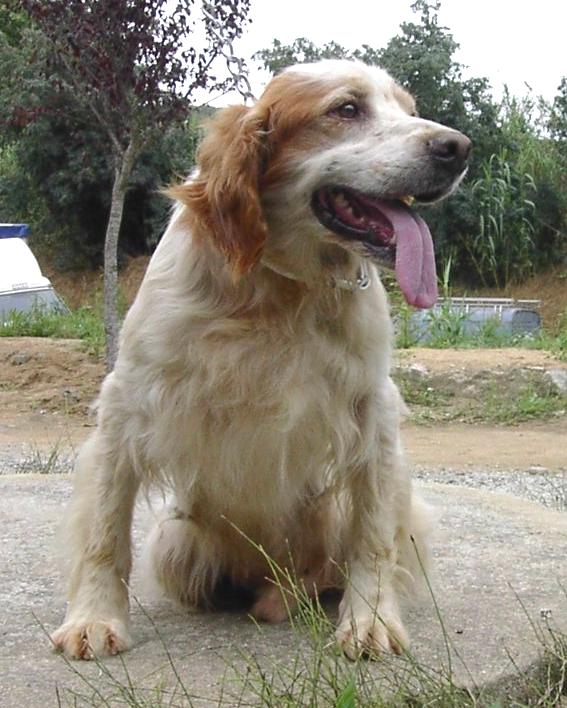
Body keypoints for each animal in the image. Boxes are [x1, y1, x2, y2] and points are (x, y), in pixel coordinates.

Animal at [52, 59, 470, 660]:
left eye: (410, 111)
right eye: (346, 108)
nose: (458, 147)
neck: (278, 288)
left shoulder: (374, 413)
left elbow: (372, 539)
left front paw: (369, 622)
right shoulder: (125, 403)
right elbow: (104, 533)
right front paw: (93, 618)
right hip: (172, 540)